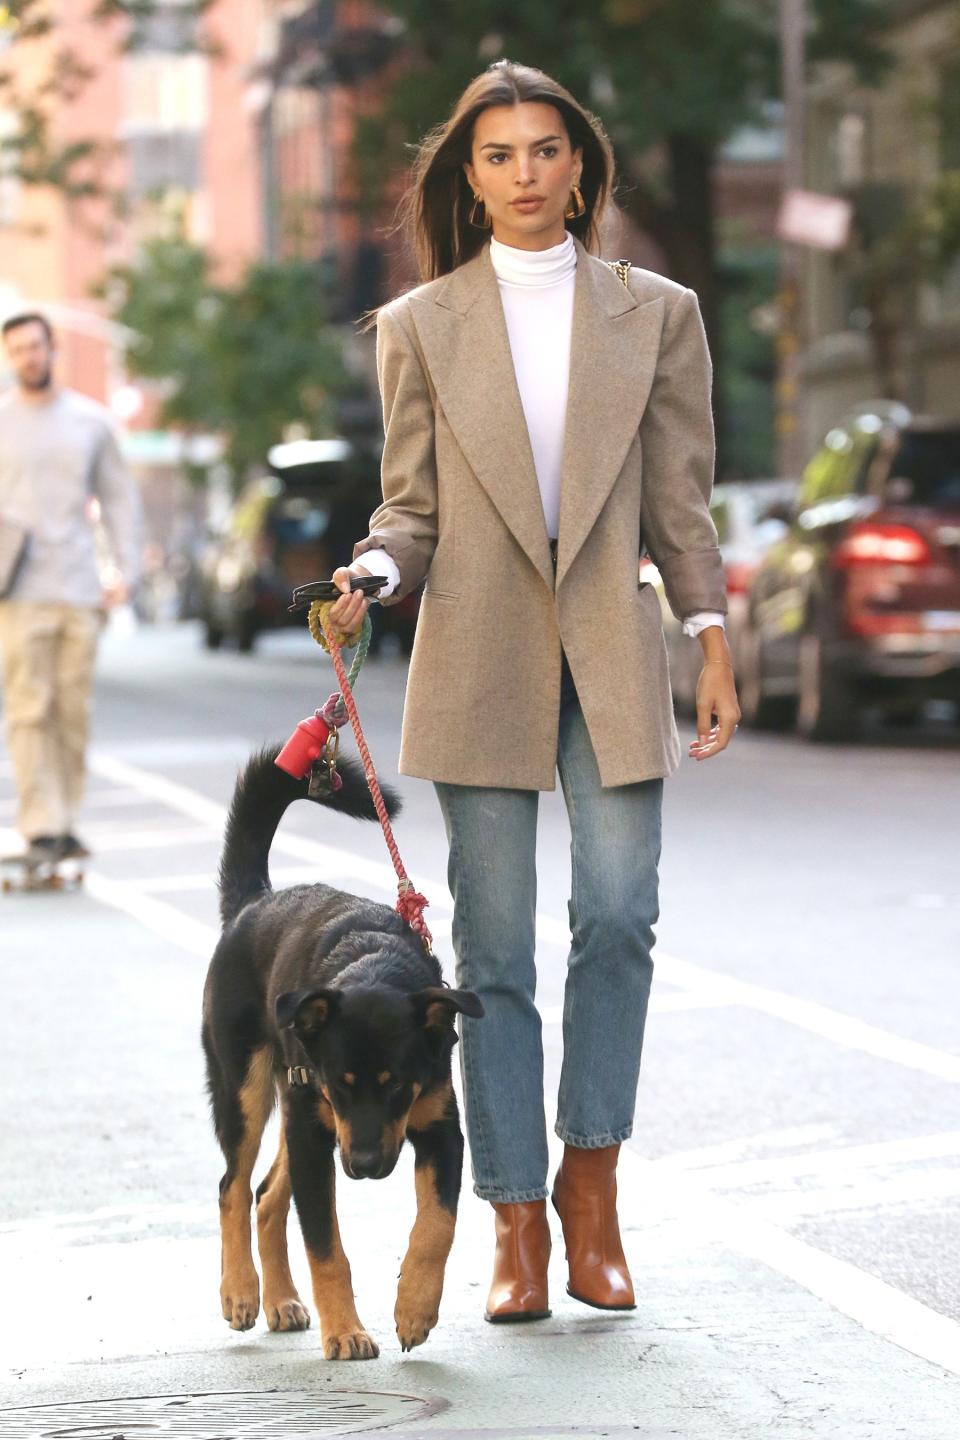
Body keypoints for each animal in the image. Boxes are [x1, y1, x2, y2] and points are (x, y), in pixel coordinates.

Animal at [200, 748, 483, 1353]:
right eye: (339, 1082)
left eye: (397, 1085)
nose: (366, 1167)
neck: (372, 964)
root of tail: (254, 902)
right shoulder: (320, 1126)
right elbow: (325, 1247)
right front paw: (346, 1333)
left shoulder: (440, 1130)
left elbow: (438, 1224)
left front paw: (415, 1308)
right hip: (251, 1092)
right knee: (234, 1186)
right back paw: (241, 1291)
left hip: (299, 1114)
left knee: (266, 1195)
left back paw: (281, 1300)